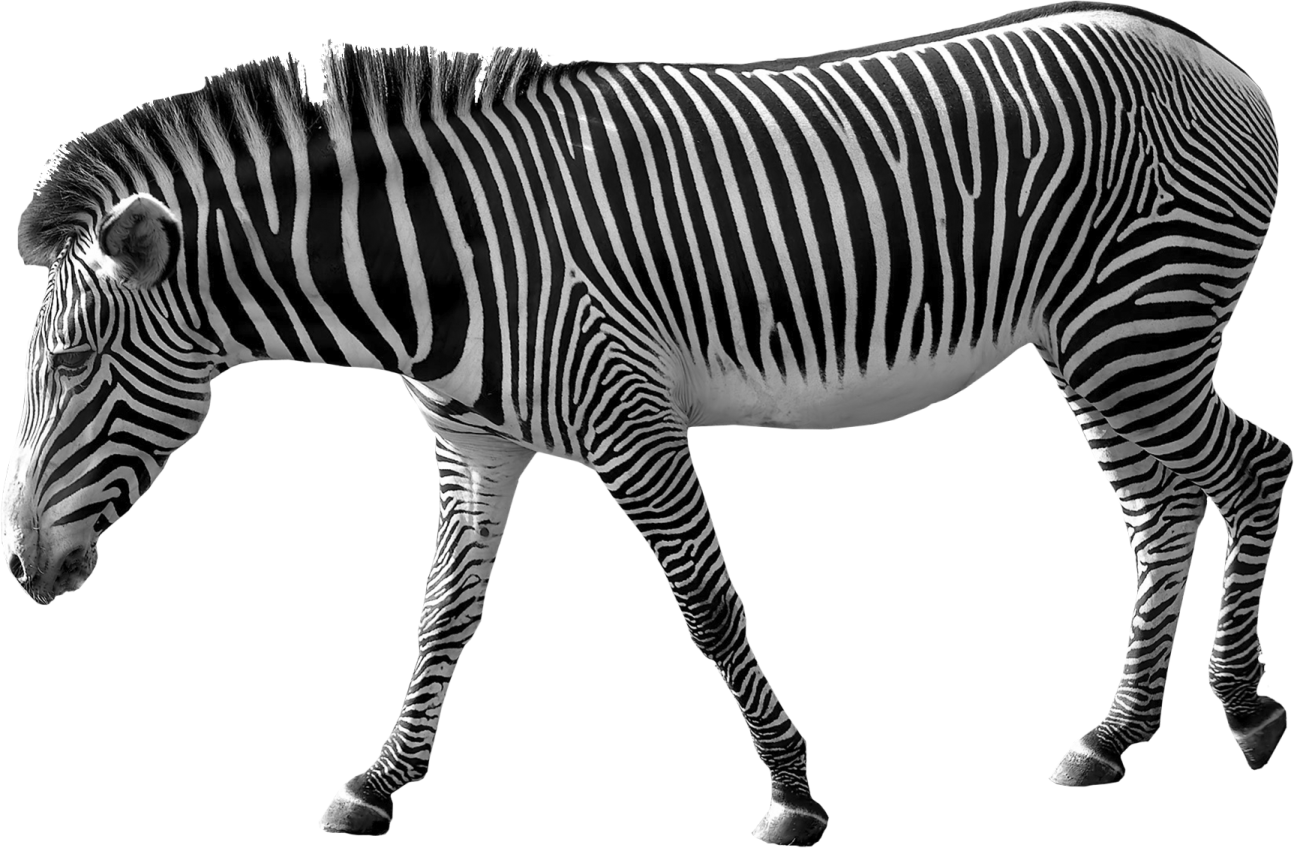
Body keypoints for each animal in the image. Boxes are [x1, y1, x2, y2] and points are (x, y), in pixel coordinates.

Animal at [4, 2, 1289, 842]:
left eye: (69, 362)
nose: (18, 566)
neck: (436, 268)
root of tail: (1213, 60)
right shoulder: (474, 443)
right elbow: (439, 617)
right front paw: (377, 779)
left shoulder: (632, 423)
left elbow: (709, 611)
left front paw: (792, 790)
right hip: (1092, 341)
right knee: (1161, 510)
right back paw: (1111, 734)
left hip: (1140, 325)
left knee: (1256, 467)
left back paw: (1250, 710)